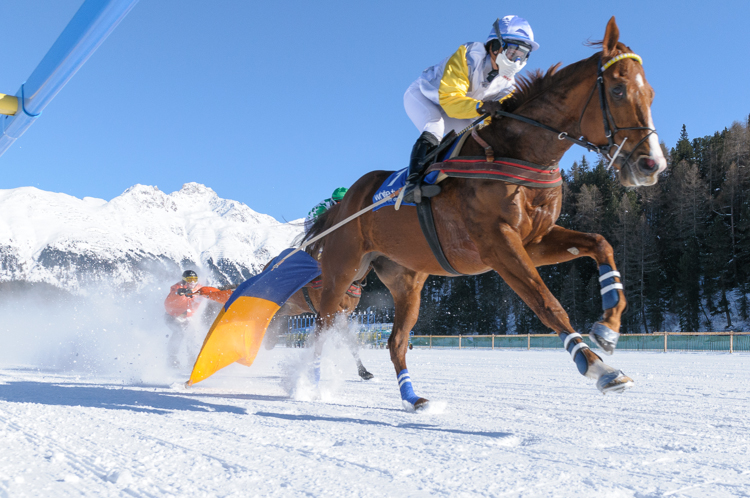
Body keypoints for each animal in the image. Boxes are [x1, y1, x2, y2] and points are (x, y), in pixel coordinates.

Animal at [302, 17, 668, 410]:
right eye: (617, 90)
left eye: (651, 94)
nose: (651, 165)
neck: (520, 152)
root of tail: (344, 203)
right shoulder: (498, 244)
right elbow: (547, 303)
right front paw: (599, 368)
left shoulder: (535, 239)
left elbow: (600, 243)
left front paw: (608, 327)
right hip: (342, 271)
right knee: (320, 328)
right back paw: (309, 384)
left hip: (406, 281)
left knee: (396, 342)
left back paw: (413, 398)